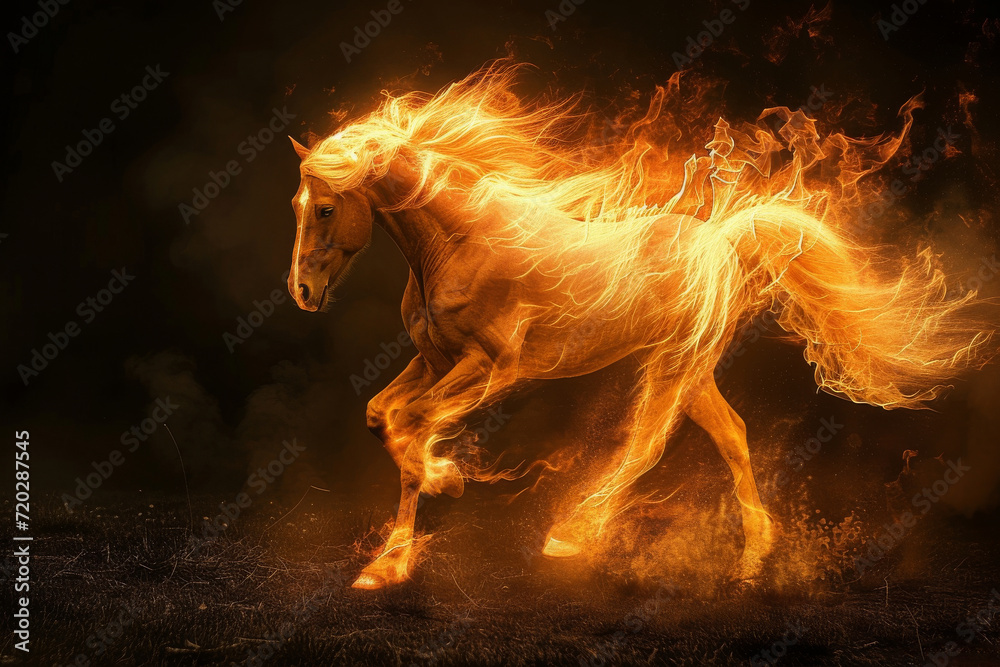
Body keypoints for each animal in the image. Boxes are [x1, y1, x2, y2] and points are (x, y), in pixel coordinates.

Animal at [283, 63, 992, 590]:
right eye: (296, 205)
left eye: (325, 208)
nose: (302, 293)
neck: (462, 243)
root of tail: (720, 242)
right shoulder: (433, 360)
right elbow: (381, 416)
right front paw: (401, 539)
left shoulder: (491, 368)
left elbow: (411, 427)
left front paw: (413, 525)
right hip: (691, 370)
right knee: (731, 435)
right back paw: (752, 560)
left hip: (676, 361)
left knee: (649, 441)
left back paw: (572, 536)